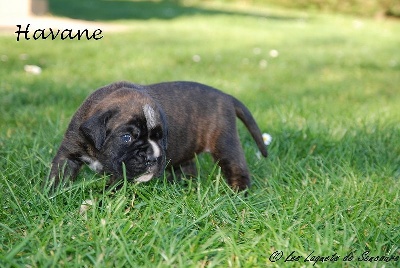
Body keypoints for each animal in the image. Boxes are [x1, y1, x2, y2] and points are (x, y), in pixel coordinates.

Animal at [48, 80, 268, 192]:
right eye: (126, 137)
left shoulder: (121, 173)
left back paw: (237, 192)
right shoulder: (69, 154)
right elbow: (57, 177)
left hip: (224, 144)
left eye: (160, 138)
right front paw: (50, 196)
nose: (153, 156)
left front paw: (95, 201)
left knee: (236, 168)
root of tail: (227, 97)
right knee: (188, 168)